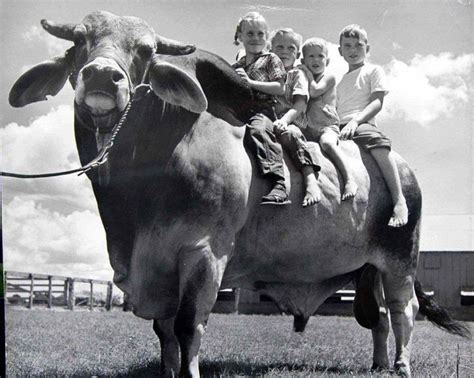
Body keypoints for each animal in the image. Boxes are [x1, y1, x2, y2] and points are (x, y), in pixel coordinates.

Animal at [8, 10, 470, 376]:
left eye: (145, 50)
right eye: (79, 41)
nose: (103, 76)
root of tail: (404, 169)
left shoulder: (204, 253)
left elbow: (187, 326)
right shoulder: (157, 264)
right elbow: (164, 330)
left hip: (400, 257)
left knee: (403, 310)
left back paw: (401, 364)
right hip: (366, 268)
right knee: (376, 316)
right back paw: (378, 364)